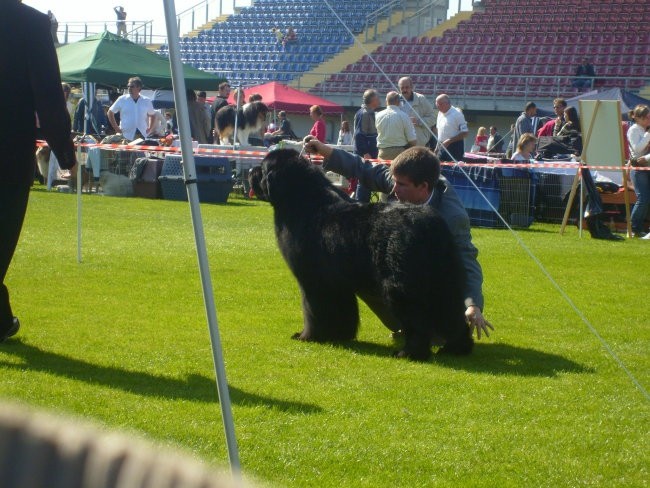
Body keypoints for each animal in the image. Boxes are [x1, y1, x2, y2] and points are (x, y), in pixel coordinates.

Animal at [249, 149, 470, 358]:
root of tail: (431, 224)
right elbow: (343, 310)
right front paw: (340, 335)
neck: (299, 202)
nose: (251, 170)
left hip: (401, 285)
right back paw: (456, 348)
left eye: (262, 168)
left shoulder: (312, 280)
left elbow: (312, 310)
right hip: (446, 280)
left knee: (417, 319)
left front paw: (308, 336)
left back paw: (409, 353)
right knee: (453, 313)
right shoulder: (337, 283)